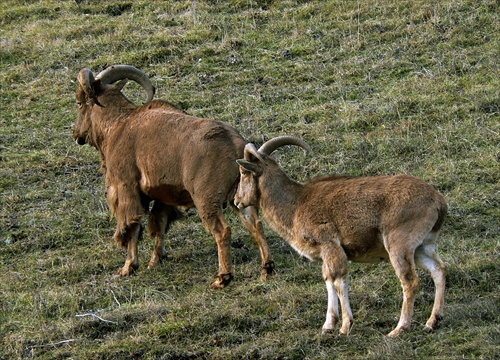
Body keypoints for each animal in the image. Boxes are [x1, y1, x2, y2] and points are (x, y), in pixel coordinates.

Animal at [71, 64, 274, 288]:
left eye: (79, 102)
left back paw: (222, 277)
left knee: (222, 231)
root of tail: (236, 146)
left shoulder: (127, 188)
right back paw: (267, 269)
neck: (120, 124)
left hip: (207, 199)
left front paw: (128, 267)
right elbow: (159, 224)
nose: (76, 134)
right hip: (240, 197)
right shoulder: (163, 196)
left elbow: (132, 227)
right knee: (256, 225)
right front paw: (155, 260)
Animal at [236, 136, 448, 338]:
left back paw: (399, 329)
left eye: (244, 172)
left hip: (399, 244)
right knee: (438, 269)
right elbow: (329, 280)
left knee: (410, 281)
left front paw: (345, 326)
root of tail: (438, 201)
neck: (296, 204)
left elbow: (338, 280)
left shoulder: (330, 245)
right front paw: (328, 326)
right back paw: (431, 322)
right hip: (422, 247)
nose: (237, 201)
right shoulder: (325, 254)